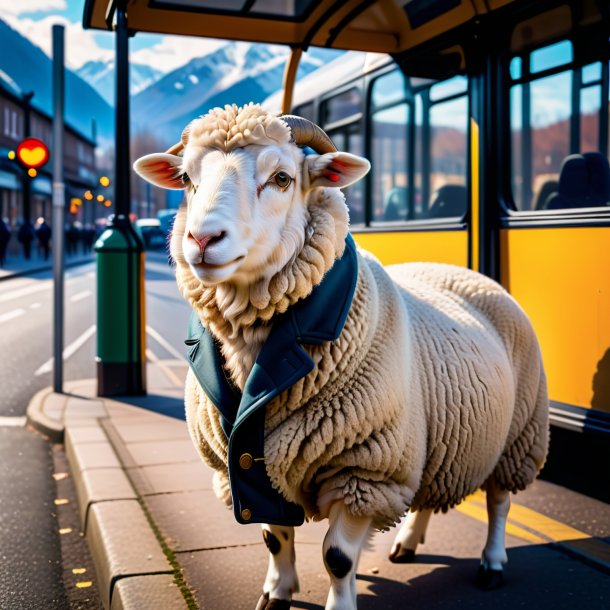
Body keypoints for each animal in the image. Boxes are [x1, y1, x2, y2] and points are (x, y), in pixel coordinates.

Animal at [134, 103, 552, 608]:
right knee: (428, 494)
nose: (201, 239)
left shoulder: (364, 471)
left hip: (517, 436)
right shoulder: (249, 468)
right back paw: (407, 543)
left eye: (282, 178)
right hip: (435, 442)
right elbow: (274, 538)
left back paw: (492, 562)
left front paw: (338, 598)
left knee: (499, 502)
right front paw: (277, 591)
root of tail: (468, 273)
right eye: (187, 178)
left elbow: (337, 558)